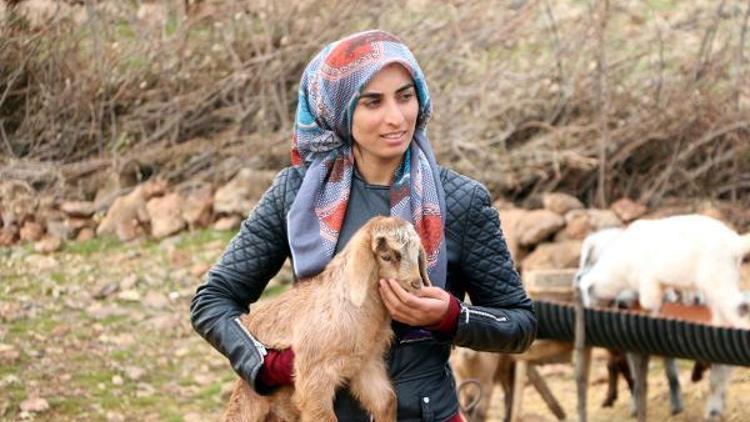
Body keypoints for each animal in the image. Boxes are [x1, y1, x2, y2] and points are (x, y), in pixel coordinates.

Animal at [223, 216, 432, 420]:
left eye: (417, 254)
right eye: (386, 256)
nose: (416, 285)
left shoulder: (365, 363)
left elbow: (386, 401)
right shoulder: (313, 376)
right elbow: (323, 415)